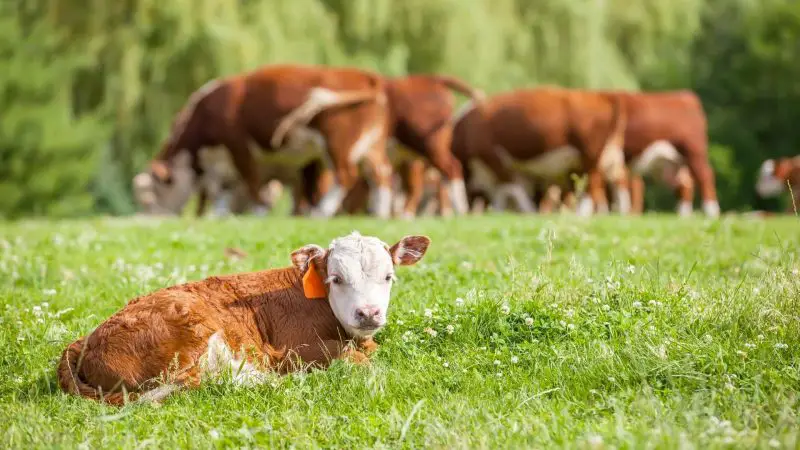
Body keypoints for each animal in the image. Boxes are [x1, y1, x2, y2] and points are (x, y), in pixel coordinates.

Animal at [56, 232, 432, 404]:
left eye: (388, 277)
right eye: (335, 279)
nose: (368, 312)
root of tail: (84, 341)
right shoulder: (290, 351)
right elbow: (357, 358)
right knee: (202, 382)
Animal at [141, 63, 396, 218]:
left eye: (153, 193)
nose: (152, 218)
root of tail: (365, 75)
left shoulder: (239, 146)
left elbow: (251, 182)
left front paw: (259, 211)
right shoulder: (224, 161)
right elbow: (225, 190)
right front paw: (220, 215)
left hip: (338, 141)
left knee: (345, 175)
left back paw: (322, 212)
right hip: (372, 145)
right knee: (381, 174)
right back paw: (380, 213)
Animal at [446, 86, 628, 218]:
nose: (465, 212)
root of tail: (604, 97)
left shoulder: (492, 157)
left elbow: (512, 188)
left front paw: (529, 212)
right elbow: (503, 193)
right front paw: (499, 212)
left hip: (591, 156)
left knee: (592, 185)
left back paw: (580, 214)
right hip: (608, 156)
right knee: (619, 180)